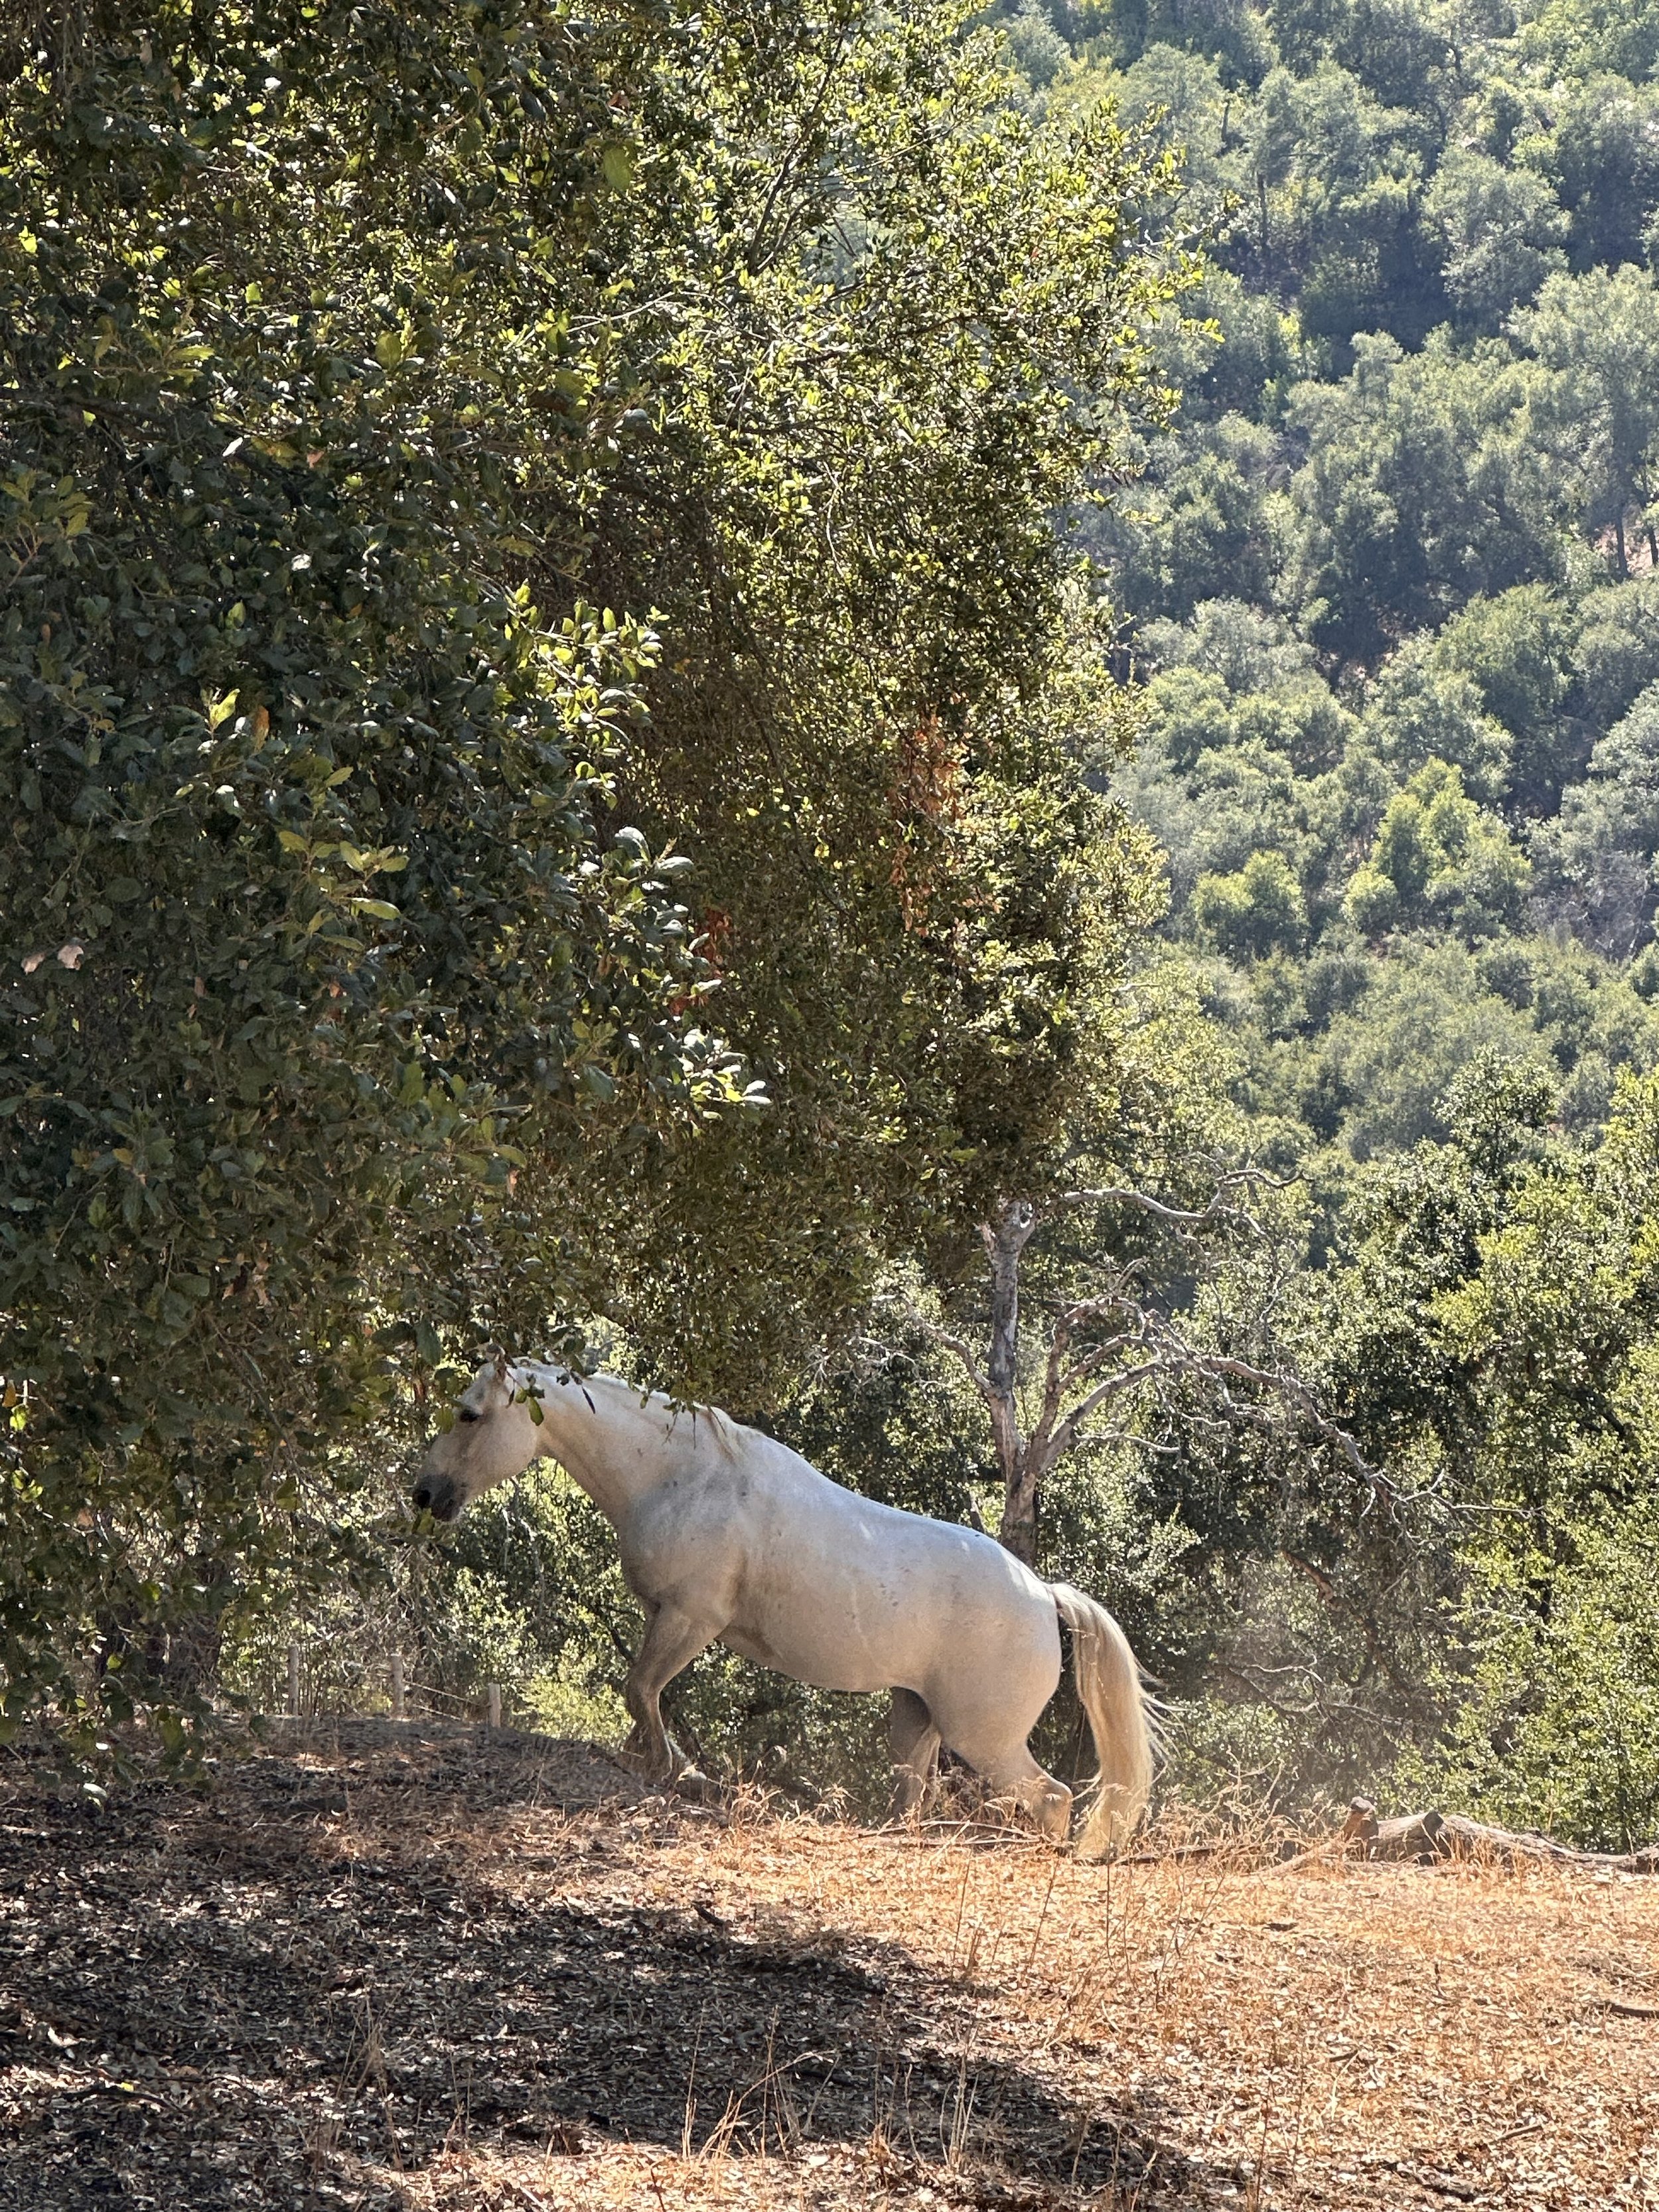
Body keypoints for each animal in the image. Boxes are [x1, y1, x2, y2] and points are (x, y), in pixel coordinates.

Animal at [413, 1357, 1156, 1854]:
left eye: (470, 1413)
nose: (425, 1494)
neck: (684, 1476)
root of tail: (1042, 1594)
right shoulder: (664, 1617)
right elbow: (642, 1698)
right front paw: (650, 1764)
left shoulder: (690, 1618)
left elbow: (640, 1691)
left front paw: (682, 1774)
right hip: (917, 1720)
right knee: (912, 1802)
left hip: (985, 1739)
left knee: (1053, 1798)